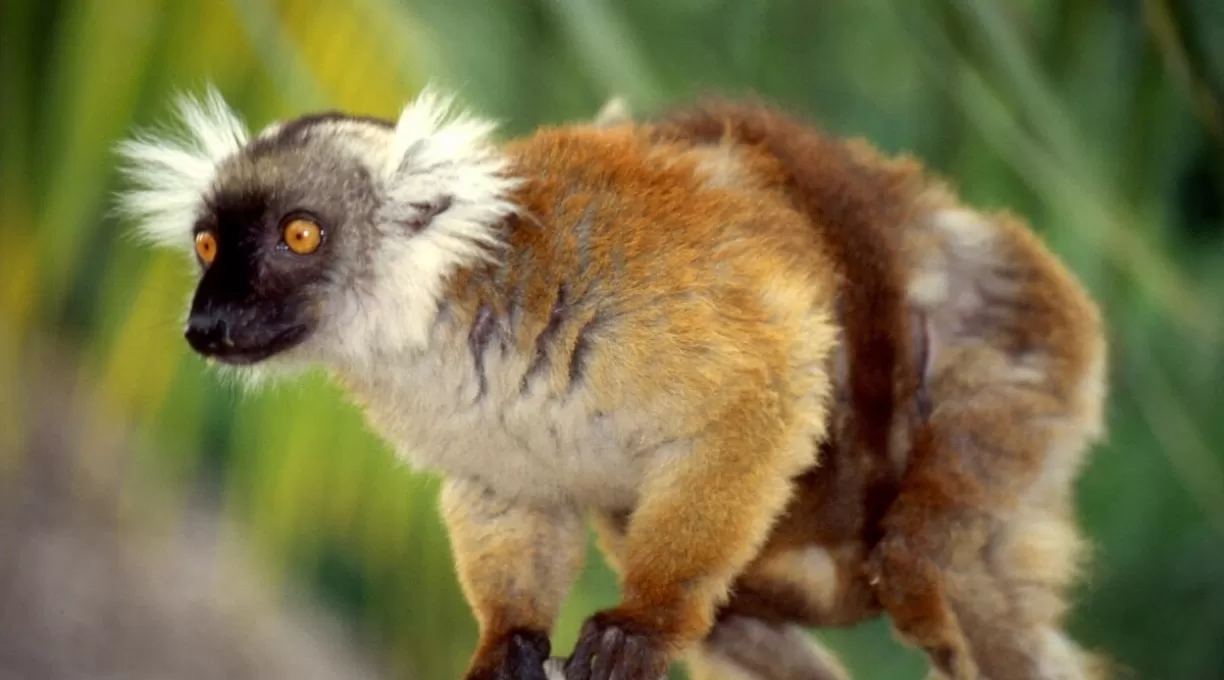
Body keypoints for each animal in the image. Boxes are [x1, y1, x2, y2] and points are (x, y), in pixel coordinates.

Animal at [115, 87, 1108, 680]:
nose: (208, 323)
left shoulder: (640, 300)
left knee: (923, 564)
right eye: (208, 246)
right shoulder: (473, 421)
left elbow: (766, 389)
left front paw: (646, 621)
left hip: (1018, 350)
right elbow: (513, 498)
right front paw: (508, 642)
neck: (447, 319)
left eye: (299, 235)